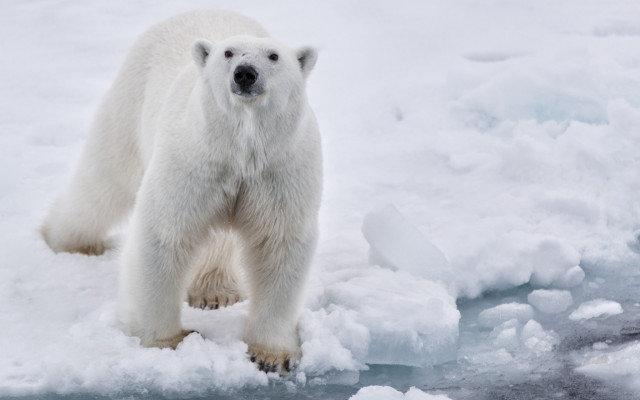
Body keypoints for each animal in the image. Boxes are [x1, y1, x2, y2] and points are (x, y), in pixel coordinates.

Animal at [40, 9, 322, 374]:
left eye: (274, 56)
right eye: (228, 53)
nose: (245, 73)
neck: (240, 148)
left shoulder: (278, 170)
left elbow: (279, 244)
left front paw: (272, 356)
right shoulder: (193, 159)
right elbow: (164, 233)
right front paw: (169, 341)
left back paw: (214, 291)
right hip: (131, 97)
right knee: (102, 182)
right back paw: (70, 241)